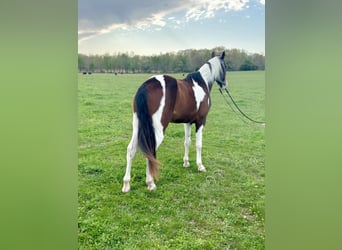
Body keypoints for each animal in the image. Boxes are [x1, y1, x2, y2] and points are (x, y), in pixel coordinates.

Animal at [121, 50, 228, 191]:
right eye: (225, 66)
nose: (225, 84)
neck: (201, 83)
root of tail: (146, 86)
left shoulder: (187, 122)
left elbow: (187, 142)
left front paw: (186, 163)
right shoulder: (201, 121)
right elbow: (198, 144)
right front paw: (200, 166)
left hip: (137, 126)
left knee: (131, 150)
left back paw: (126, 184)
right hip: (157, 130)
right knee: (150, 151)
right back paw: (150, 183)